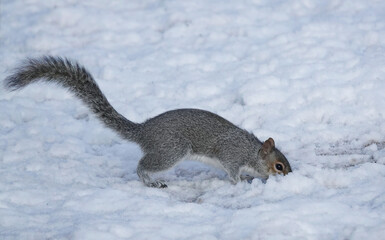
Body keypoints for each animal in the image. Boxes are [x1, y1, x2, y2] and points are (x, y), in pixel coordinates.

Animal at [4, 56, 292, 188]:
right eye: (279, 166)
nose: (290, 177)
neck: (251, 150)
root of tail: (143, 131)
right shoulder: (231, 155)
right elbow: (232, 172)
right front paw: (241, 182)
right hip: (171, 150)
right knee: (143, 165)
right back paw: (150, 181)